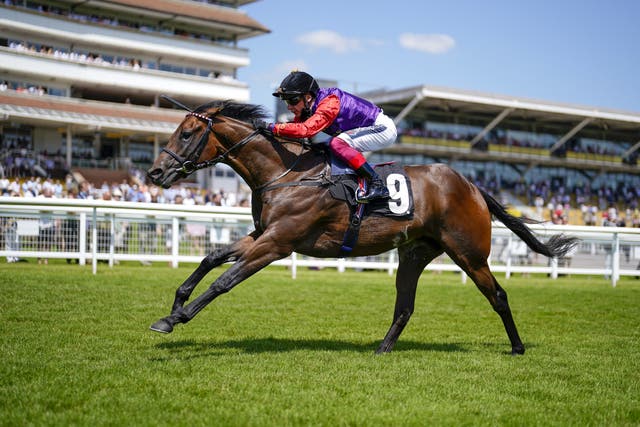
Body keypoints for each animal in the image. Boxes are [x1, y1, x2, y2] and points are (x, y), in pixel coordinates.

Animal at [148, 99, 576, 354]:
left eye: (187, 133)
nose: (155, 173)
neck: (286, 173)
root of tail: (472, 186)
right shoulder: (262, 235)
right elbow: (211, 257)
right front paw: (175, 304)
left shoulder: (277, 243)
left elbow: (224, 280)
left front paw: (173, 319)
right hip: (415, 253)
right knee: (405, 305)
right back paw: (382, 348)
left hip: (469, 253)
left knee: (498, 295)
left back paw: (517, 347)